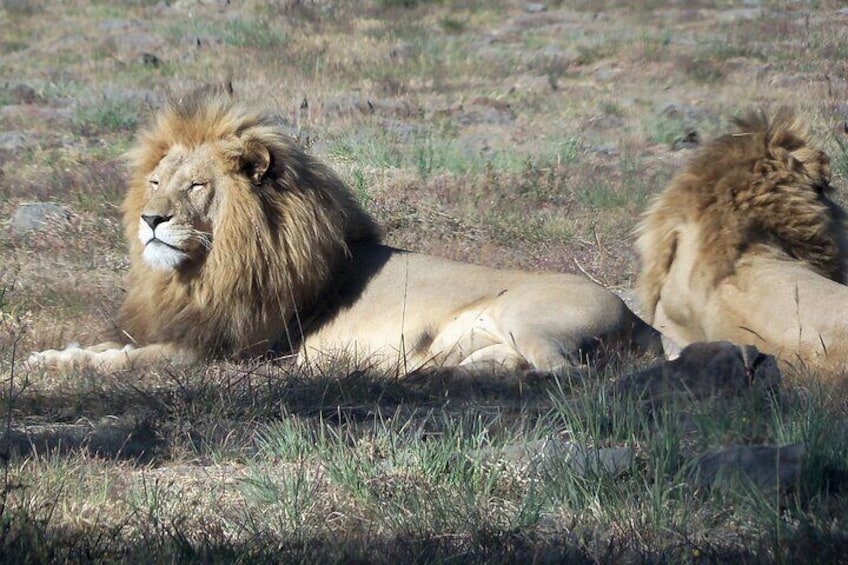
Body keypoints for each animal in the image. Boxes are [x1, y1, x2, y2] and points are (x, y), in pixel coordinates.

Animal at [28, 91, 664, 374]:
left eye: (197, 187)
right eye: (156, 182)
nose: (150, 220)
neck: (202, 271)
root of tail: (642, 322)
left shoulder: (228, 350)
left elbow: (124, 361)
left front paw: (54, 363)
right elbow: (112, 347)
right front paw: (57, 351)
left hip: (526, 318)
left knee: (564, 372)